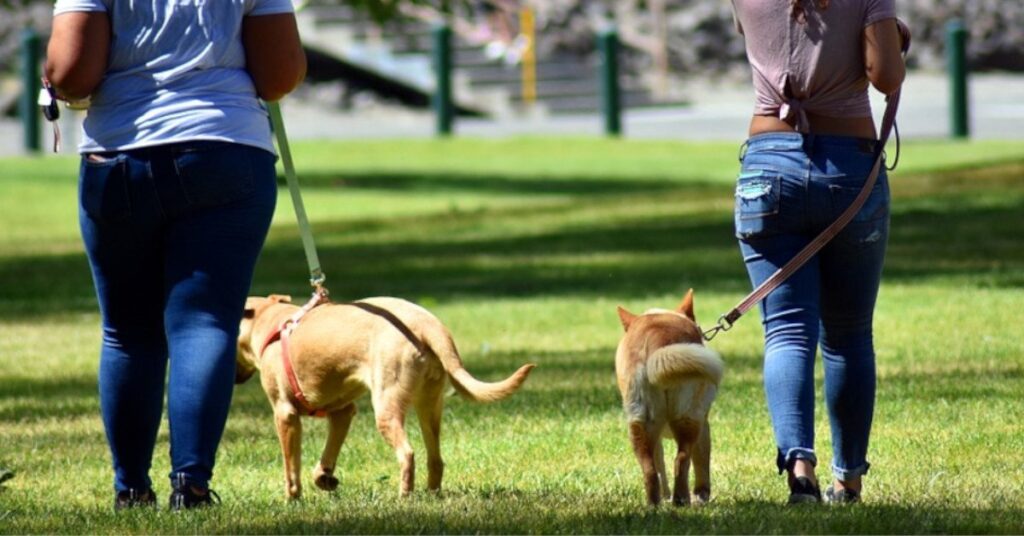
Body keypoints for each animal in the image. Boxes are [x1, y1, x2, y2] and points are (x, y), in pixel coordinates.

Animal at [234, 293, 532, 500]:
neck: (270, 321)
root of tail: (428, 324)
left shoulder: (285, 414)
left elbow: (291, 468)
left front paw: (292, 500)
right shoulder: (343, 412)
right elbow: (326, 457)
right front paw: (325, 479)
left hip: (387, 406)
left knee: (407, 453)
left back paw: (404, 496)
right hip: (429, 404)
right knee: (435, 460)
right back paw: (432, 495)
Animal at [614, 291, 720, 506]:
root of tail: (654, 341)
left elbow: (659, 466)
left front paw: (665, 496)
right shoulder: (704, 426)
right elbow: (702, 462)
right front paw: (702, 494)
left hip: (640, 425)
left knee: (650, 470)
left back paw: (654, 504)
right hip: (689, 418)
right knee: (682, 459)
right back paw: (682, 500)